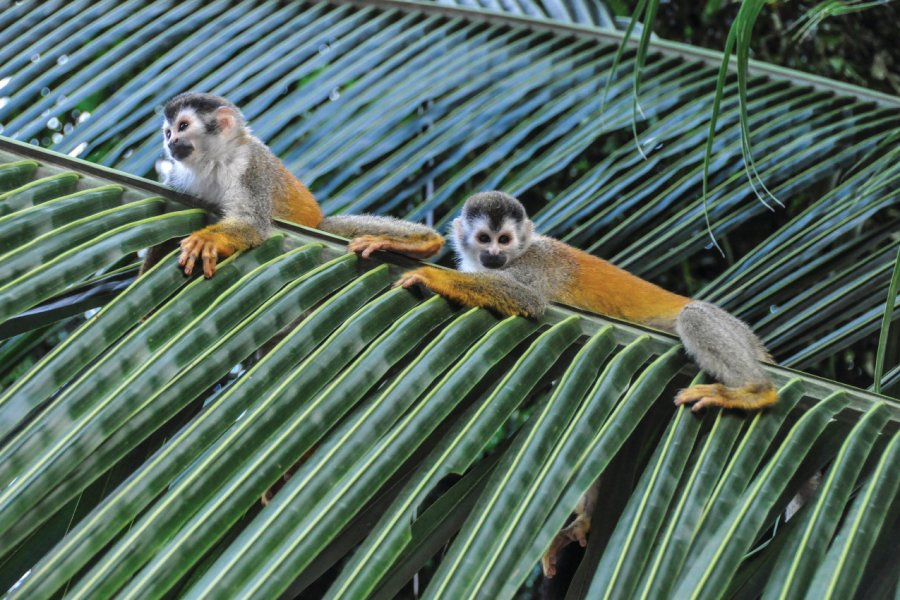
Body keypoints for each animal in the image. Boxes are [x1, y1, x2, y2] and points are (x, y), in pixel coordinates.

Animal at [159, 91, 446, 276]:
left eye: (183, 126)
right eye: (168, 132)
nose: (171, 142)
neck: (214, 159)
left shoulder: (251, 164)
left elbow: (252, 223)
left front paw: (208, 239)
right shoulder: (178, 178)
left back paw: (423, 242)